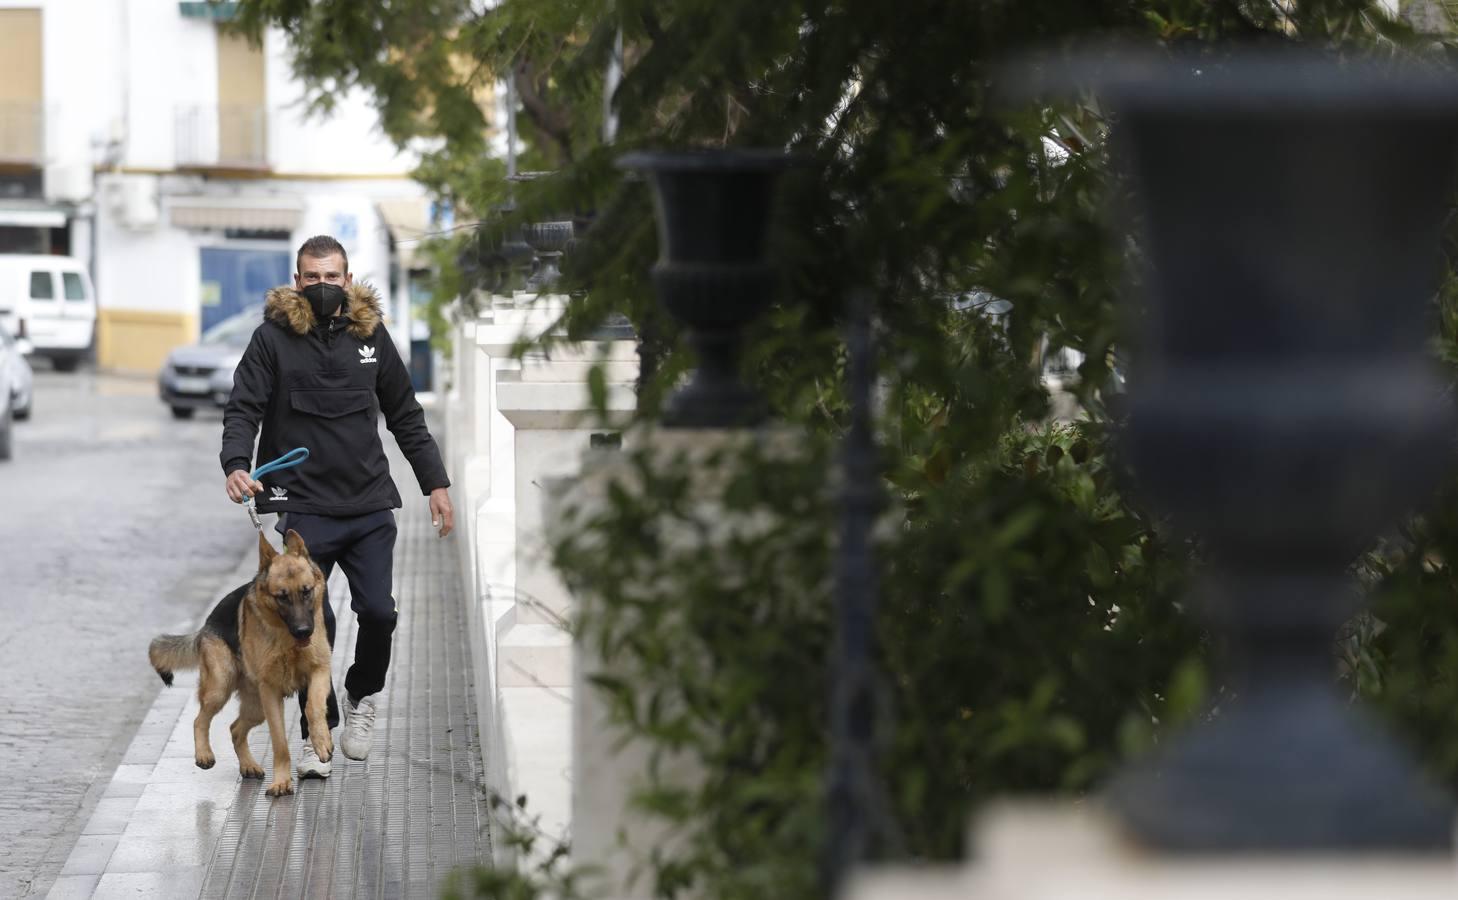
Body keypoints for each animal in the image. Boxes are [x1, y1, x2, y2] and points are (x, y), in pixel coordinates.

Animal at [147, 530, 335, 799]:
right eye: (282, 597)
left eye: (306, 591)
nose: (303, 631)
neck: (286, 639)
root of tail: (207, 624)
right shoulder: (271, 691)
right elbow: (280, 742)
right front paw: (281, 781)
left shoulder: (319, 671)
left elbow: (313, 708)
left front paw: (321, 742)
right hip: (221, 688)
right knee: (200, 719)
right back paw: (204, 754)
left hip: (256, 708)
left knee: (235, 729)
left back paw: (248, 765)